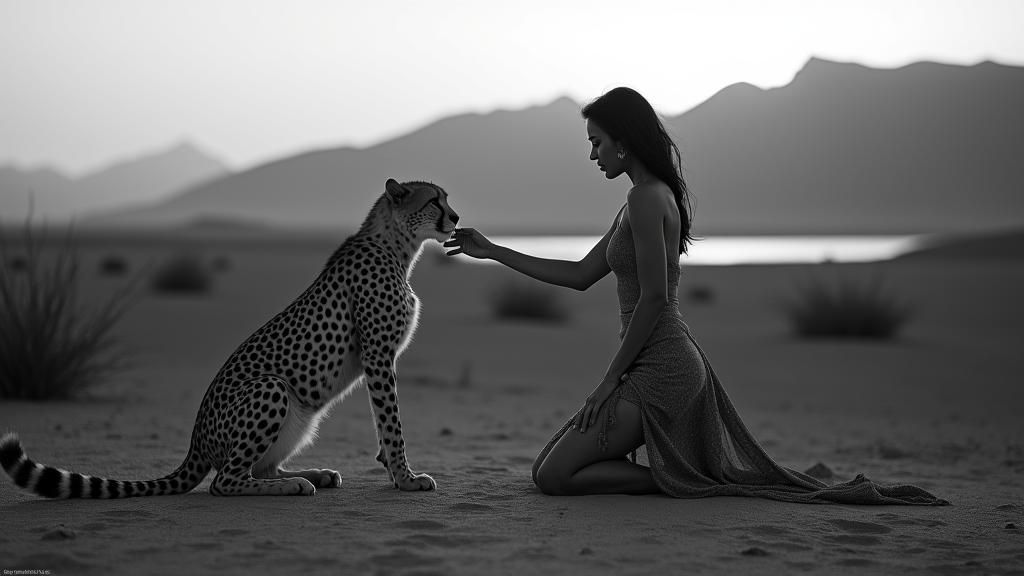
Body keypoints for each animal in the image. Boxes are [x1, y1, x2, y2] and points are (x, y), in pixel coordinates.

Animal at [0, 178, 459, 497]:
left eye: (446, 199)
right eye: (434, 201)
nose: (455, 218)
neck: (397, 247)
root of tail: (196, 443)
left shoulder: (380, 358)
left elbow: (385, 423)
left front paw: (394, 471)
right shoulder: (379, 355)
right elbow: (391, 422)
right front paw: (406, 477)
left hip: (300, 417)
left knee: (260, 467)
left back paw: (312, 473)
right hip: (272, 388)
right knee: (225, 480)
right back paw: (290, 486)